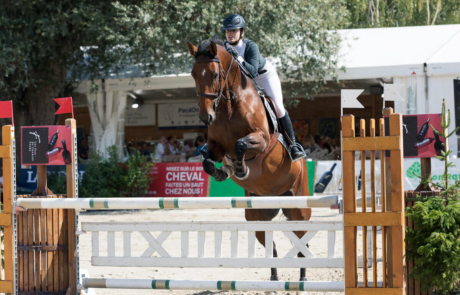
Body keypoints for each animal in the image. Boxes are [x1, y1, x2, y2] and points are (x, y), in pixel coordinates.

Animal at [187, 35, 312, 282]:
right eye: (194, 74)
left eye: (214, 74)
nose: (206, 117)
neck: (228, 105)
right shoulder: (215, 147)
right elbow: (208, 162)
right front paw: (223, 172)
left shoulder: (261, 139)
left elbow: (241, 145)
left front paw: (240, 169)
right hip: (257, 215)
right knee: (270, 244)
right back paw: (274, 279)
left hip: (300, 208)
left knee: (301, 242)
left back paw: (302, 278)